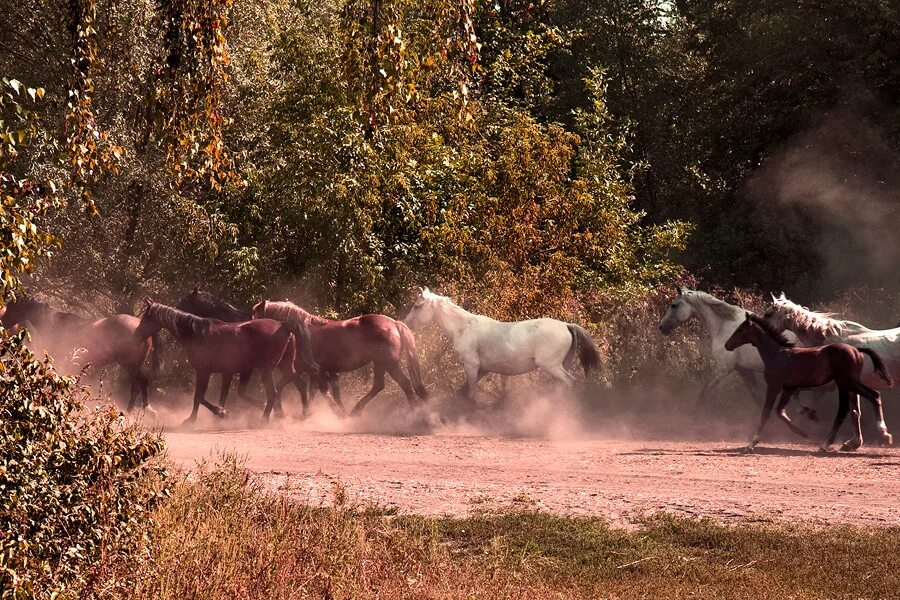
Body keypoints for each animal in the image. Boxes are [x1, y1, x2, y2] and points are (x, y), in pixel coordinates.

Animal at [0, 296, 162, 410]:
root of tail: (142, 327)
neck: (54, 324)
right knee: (137, 385)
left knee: (141, 383)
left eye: (11, 307)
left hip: (129, 365)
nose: (2, 323)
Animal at [134, 302, 316, 424]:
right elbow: (205, 397)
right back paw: (302, 413)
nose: (137, 333)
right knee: (299, 383)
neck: (196, 333)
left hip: (266, 370)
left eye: (147, 317)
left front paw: (216, 413)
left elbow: (199, 397)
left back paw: (264, 418)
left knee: (273, 392)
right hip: (284, 366)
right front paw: (198, 417)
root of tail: (283, 325)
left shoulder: (203, 371)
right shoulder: (220, 372)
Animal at [250, 300, 426, 418]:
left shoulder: (302, 370)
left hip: (389, 364)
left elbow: (295, 388)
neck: (301, 332)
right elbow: (319, 390)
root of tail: (394, 323)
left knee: (405, 384)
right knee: (379, 385)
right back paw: (355, 411)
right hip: (380, 363)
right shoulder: (317, 372)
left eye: (255, 316)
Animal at [400, 288, 596, 406]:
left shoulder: (471, 366)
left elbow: (470, 395)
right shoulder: (482, 369)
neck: (463, 328)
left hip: (552, 366)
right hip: (562, 365)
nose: (405, 324)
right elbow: (463, 392)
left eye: (417, 306)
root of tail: (566, 325)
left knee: (571, 382)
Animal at [724, 312, 892, 452]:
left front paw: (751, 443)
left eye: (740, 330)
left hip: (846, 383)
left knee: (863, 400)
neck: (777, 354)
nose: (727, 345)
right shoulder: (789, 388)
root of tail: (857, 350)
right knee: (867, 399)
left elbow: (766, 412)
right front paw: (804, 431)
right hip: (848, 384)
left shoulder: (774, 386)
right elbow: (780, 411)